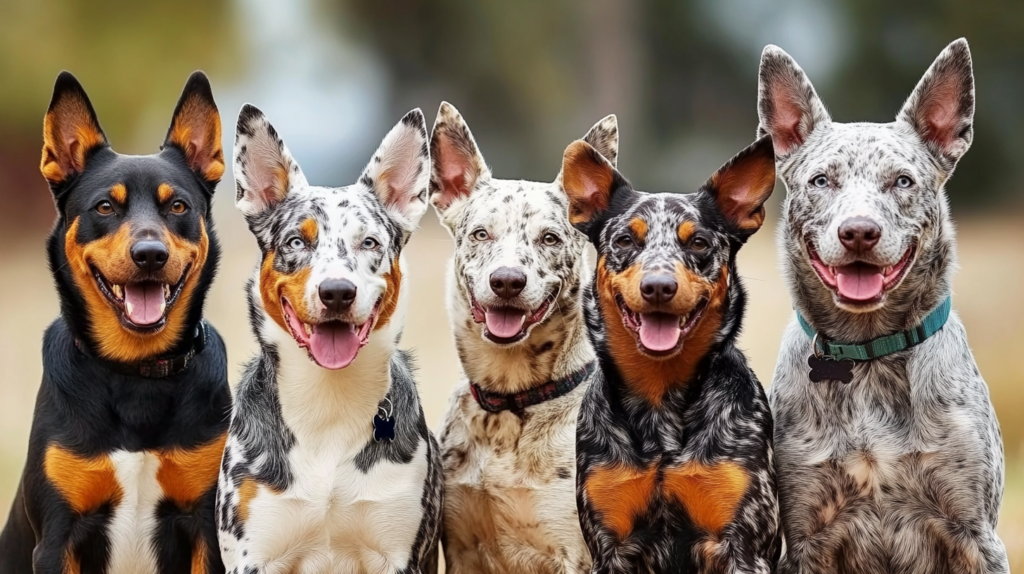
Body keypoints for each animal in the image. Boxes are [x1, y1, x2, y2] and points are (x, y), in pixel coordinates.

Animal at [0, 71, 231, 572]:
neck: (134, 371)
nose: (150, 255)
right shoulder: (57, 537)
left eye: (178, 206)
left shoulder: (208, 527)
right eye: (105, 207)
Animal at [216, 105, 440, 568]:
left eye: (369, 242)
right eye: (295, 242)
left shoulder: (398, 552)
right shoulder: (252, 552)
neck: (329, 402)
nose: (337, 292)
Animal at [428, 100, 610, 568]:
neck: (510, 403)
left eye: (549, 238)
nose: (507, 281)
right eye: (480, 233)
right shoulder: (462, 547)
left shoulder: (575, 554)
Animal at [565, 134, 778, 568]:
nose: (659, 286)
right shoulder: (608, 546)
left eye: (698, 242)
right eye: (625, 240)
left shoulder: (744, 546)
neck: (660, 401)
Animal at [761, 40, 1007, 572]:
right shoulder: (804, 535)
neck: (869, 353)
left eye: (902, 181)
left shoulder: (977, 535)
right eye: (821, 181)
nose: (858, 231)